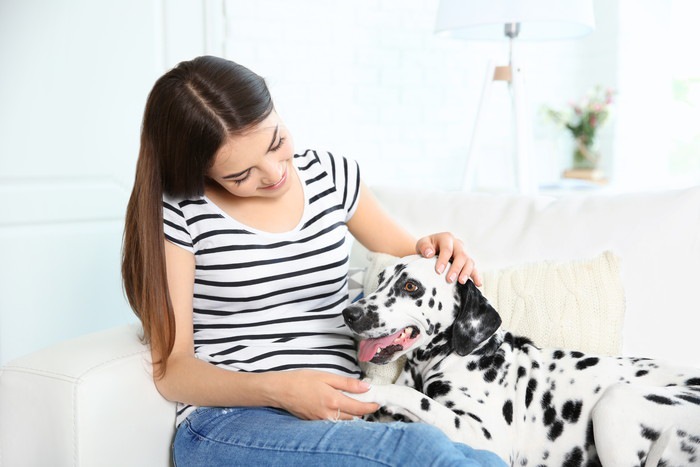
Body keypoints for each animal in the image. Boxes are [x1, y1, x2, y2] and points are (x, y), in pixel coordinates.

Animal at [344, 256, 700, 467]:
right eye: (380, 279)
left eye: (410, 286)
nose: (350, 313)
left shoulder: (485, 437)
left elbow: (410, 396)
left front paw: (364, 389)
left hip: (614, 403)